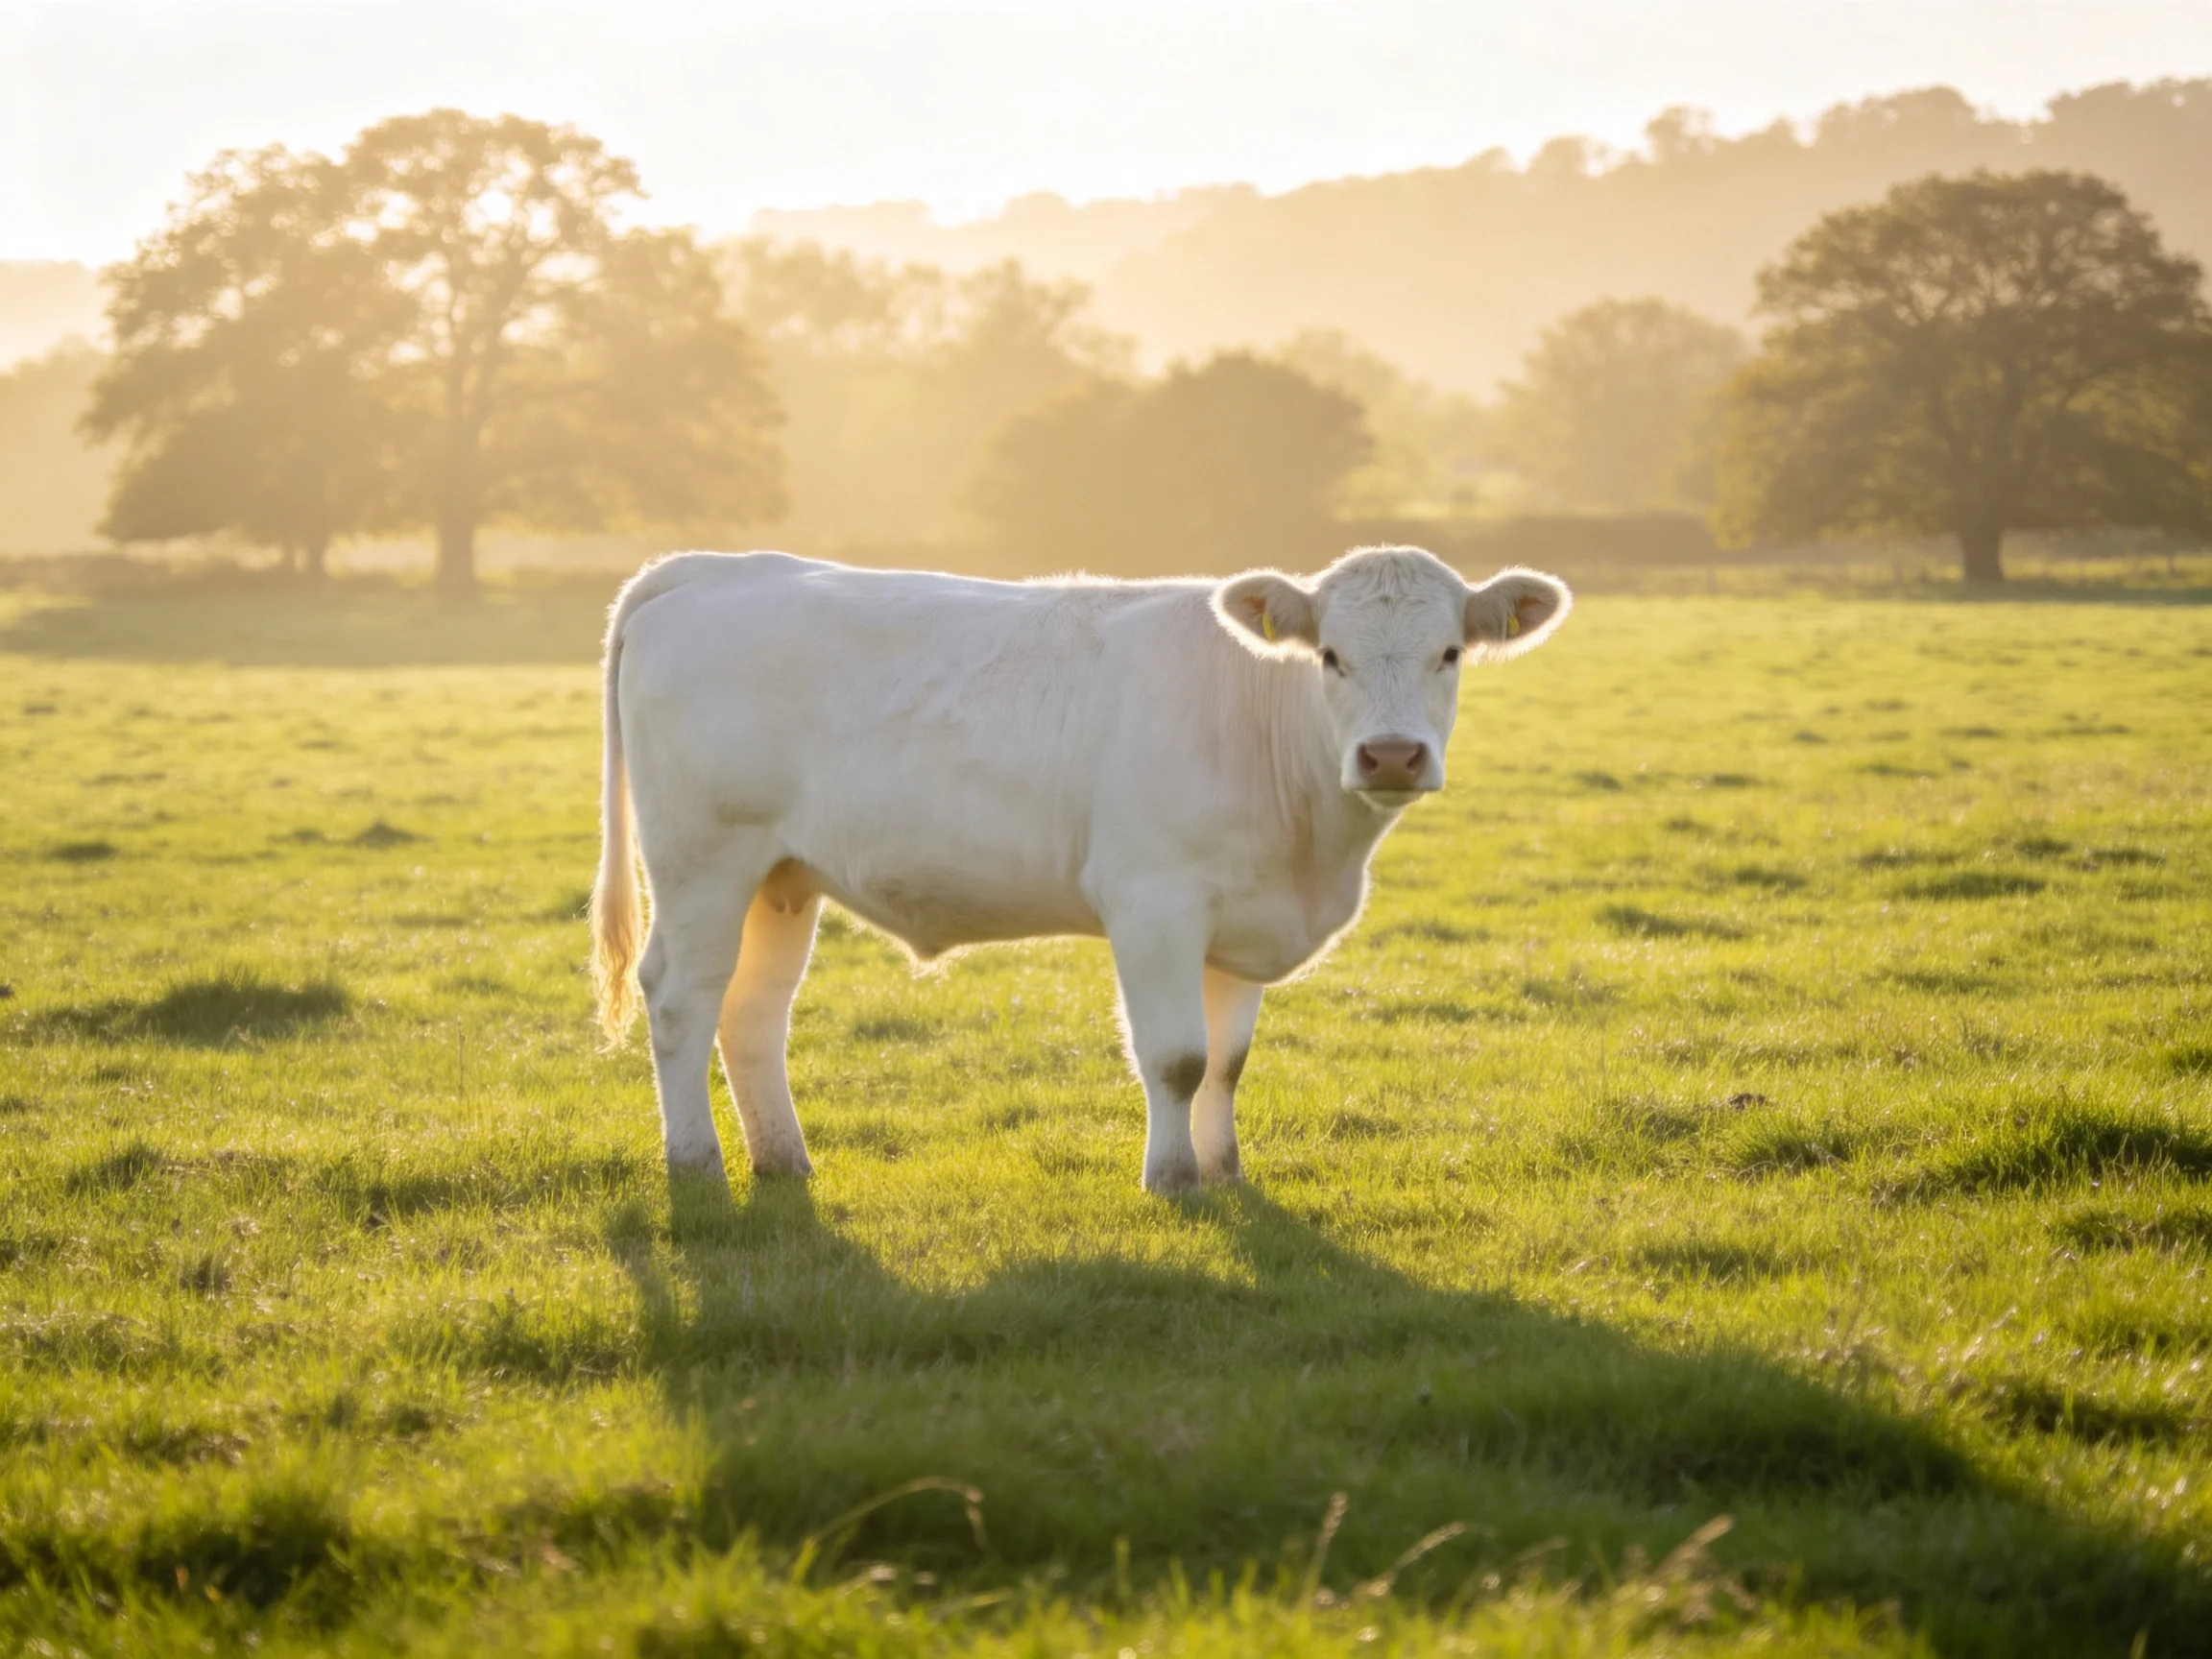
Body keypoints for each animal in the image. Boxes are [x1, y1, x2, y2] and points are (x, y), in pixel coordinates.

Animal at [590, 545, 1570, 1195]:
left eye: (1450, 653)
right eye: (1332, 656)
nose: (1392, 755)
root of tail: (715, 566)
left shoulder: (1242, 918)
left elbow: (1227, 1063)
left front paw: (1225, 1170)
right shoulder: (1153, 903)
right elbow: (1176, 1057)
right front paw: (1171, 1181)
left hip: (782, 878)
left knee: (752, 1010)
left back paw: (783, 1160)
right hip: (703, 862)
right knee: (681, 1000)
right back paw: (697, 1166)